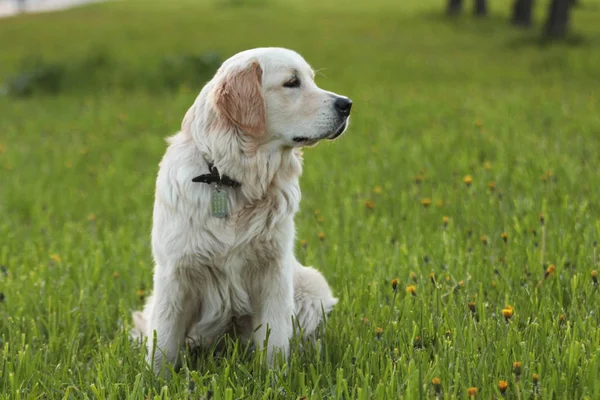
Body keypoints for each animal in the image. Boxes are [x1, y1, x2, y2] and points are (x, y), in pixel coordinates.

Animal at [129, 47, 350, 376]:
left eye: (311, 79)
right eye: (292, 82)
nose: (347, 104)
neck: (231, 179)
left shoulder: (273, 271)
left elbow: (275, 341)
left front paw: (277, 379)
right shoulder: (175, 273)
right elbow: (163, 343)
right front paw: (154, 380)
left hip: (312, 287)